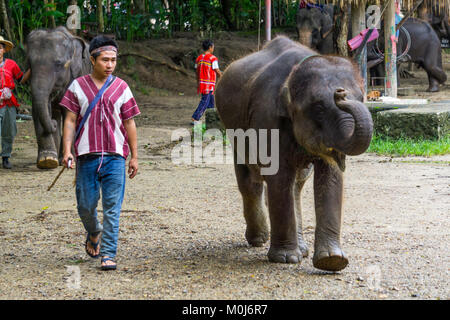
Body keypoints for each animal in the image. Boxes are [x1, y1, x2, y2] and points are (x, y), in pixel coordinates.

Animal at [25, 26, 91, 169]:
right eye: (29, 63)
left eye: (59, 63)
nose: (53, 123)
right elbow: (37, 109)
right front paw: (48, 160)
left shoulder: (75, 77)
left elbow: (70, 113)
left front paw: (68, 160)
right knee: (55, 112)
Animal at [214, 36, 372, 272]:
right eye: (319, 108)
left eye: (362, 98)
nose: (340, 93)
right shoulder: (266, 117)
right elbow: (278, 176)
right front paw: (285, 259)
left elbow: (330, 178)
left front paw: (332, 261)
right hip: (233, 130)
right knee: (250, 181)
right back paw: (259, 239)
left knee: (296, 185)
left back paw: (302, 249)